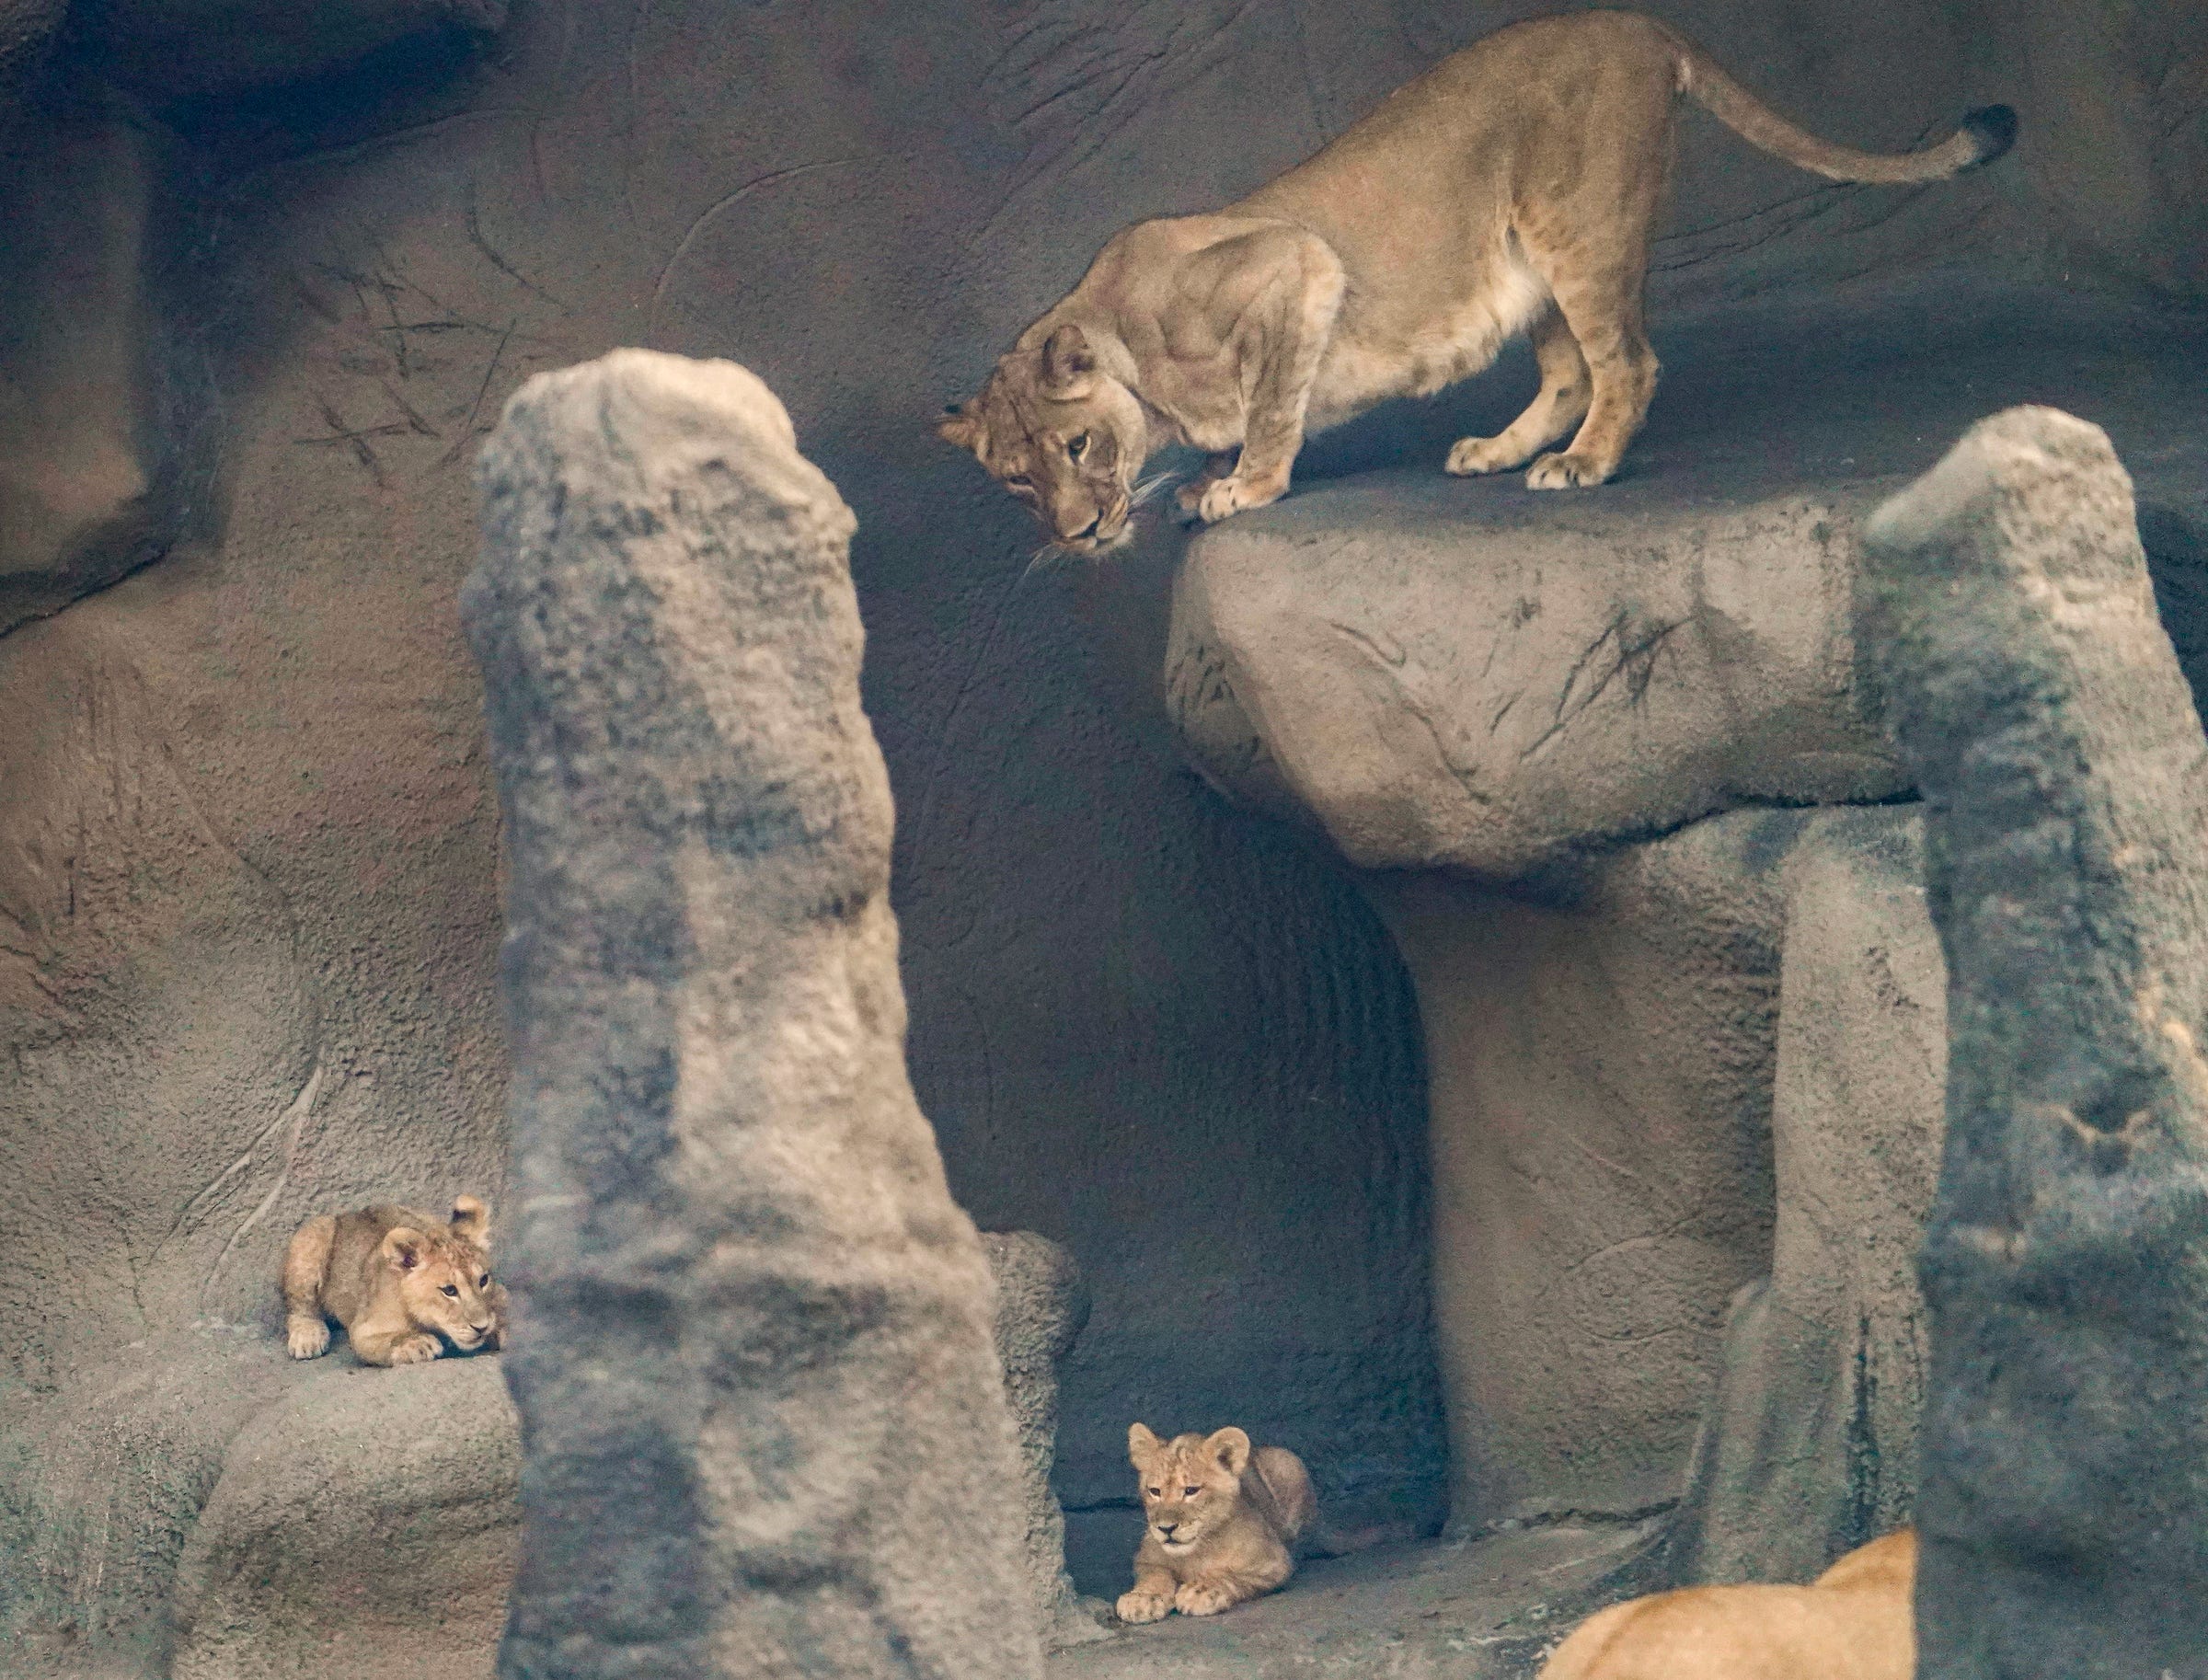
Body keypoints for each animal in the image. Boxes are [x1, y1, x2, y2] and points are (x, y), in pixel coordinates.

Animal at [281, 1195, 505, 1368]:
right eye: (449, 1290)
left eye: (483, 1280)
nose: (481, 1328)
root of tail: (350, 1214)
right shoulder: (363, 1329)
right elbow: (386, 1339)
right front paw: (417, 1343)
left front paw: (500, 1329)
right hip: (312, 1236)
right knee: (299, 1308)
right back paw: (308, 1336)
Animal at [937, 10, 2015, 547]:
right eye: (1016, 479)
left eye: (1079, 446)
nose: (1079, 534)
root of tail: (1642, 23)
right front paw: (1210, 478)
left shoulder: (1295, 265)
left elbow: (1274, 403)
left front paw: (1245, 485)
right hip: (1529, 259)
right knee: (1572, 372)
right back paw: (1500, 451)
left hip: (1576, 223)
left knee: (1627, 364)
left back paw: (1585, 464)